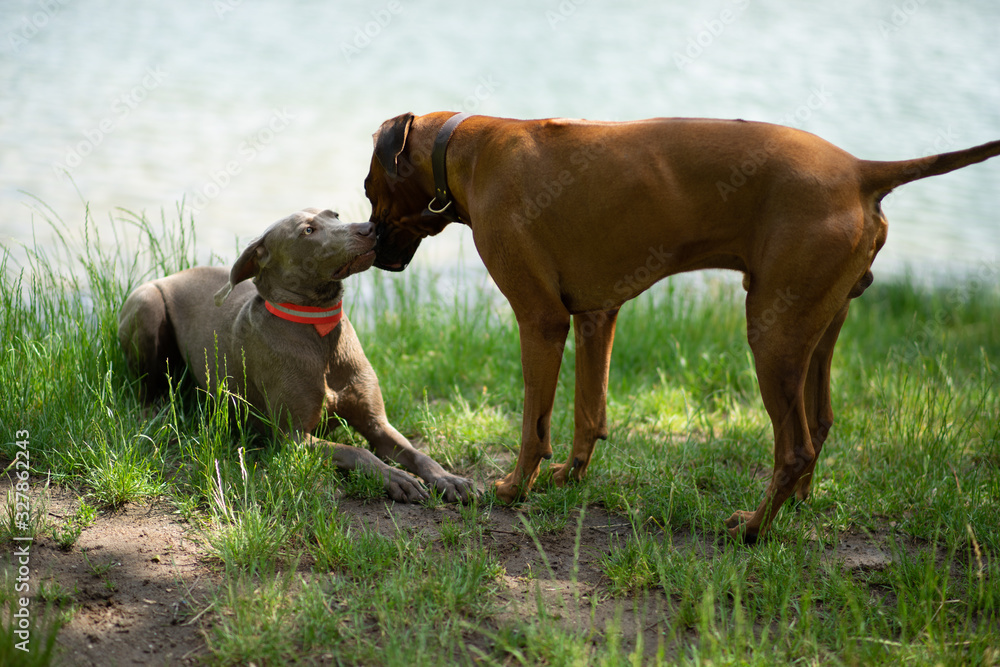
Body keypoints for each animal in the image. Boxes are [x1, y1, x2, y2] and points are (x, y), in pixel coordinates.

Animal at [117, 207, 476, 500]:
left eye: (335, 215)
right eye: (307, 230)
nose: (370, 227)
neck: (319, 332)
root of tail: (173, 274)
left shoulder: (377, 423)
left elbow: (417, 452)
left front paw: (449, 479)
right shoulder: (294, 438)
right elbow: (357, 452)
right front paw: (396, 478)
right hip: (147, 305)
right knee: (147, 388)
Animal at [366, 112, 1000, 544]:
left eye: (371, 190)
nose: (371, 245)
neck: (465, 148)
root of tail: (860, 172)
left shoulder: (541, 321)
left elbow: (533, 426)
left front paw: (513, 489)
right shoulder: (596, 316)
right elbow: (589, 415)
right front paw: (569, 479)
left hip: (771, 334)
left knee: (794, 447)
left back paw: (754, 529)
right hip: (816, 331)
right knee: (819, 425)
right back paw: (796, 506)